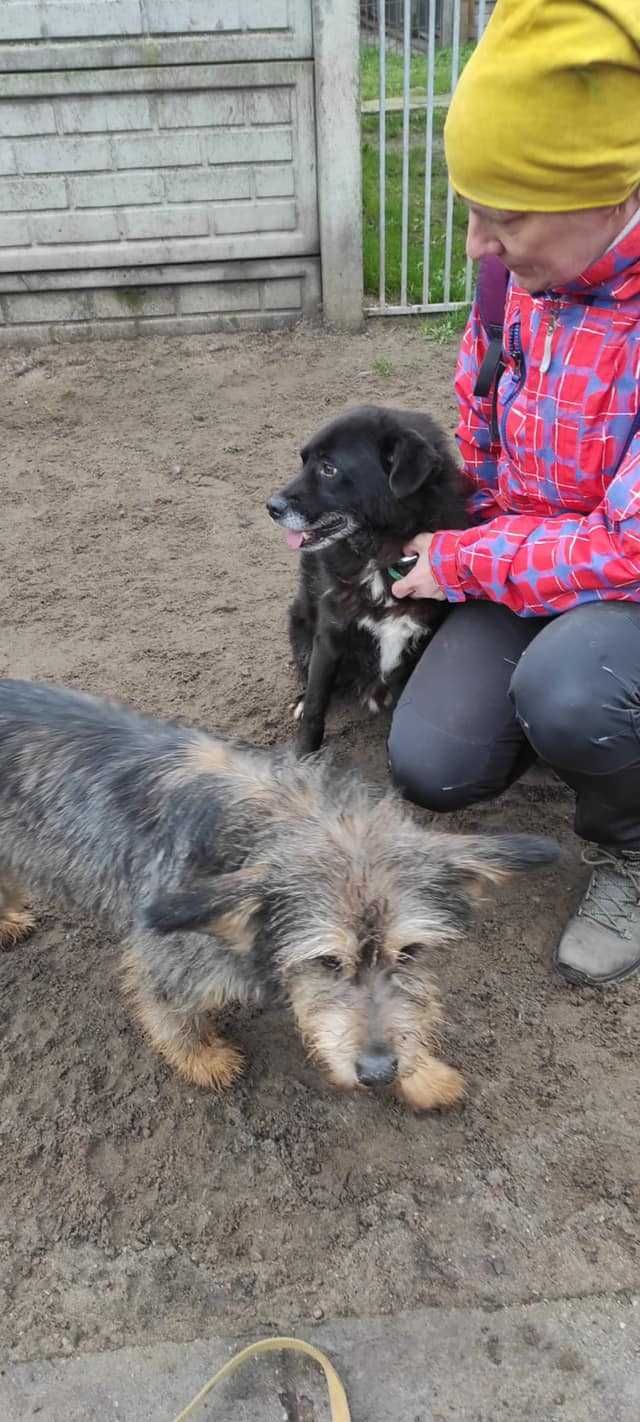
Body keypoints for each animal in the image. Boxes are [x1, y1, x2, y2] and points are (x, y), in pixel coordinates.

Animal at [0, 679, 560, 1109]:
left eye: (411, 952)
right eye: (327, 960)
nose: (378, 1072)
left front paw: (421, 1072)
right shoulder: (167, 958)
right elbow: (171, 1013)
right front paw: (203, 1058)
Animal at [267, 403, 466, 756]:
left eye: (329, 469)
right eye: (304, 461)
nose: (270, 506)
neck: (378, 554)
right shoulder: (330, 635)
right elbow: (316, 706)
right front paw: (303, 757)